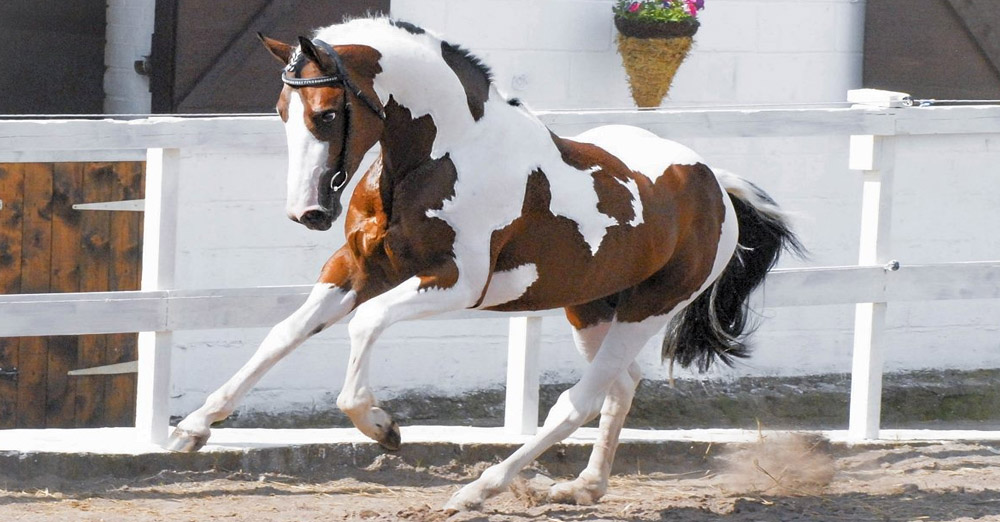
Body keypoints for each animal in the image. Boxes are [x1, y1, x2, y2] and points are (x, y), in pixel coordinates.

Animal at [166, 15, 804, 508]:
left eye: (326, 114)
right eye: (281, 111)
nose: (308, 212)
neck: (436, 157)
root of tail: (714, 183)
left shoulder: (457, 283)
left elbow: (365, 325)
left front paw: (382, 426)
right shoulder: (357, 269)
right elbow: (283, 333)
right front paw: (192, 429)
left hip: (649, 307)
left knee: (578, 401)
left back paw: (480, 489)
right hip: (591, 306)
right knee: (622, 386)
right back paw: (584, 488)